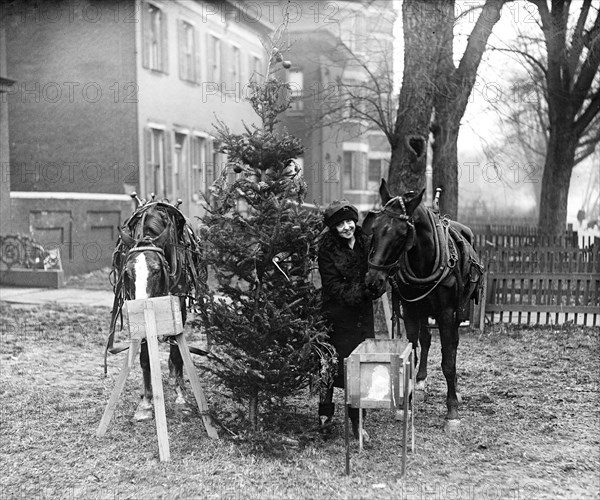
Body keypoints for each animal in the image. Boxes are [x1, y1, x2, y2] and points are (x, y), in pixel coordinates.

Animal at [103, 196, 206, 422]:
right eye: (127, 272)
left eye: (157, 270)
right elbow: (144, 357)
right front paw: (146, 402)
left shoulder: (178, 304)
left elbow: (176, 352)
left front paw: (181, 397)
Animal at [360, 180, 482, 430]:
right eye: (374, 229)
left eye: (401, 235)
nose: (373, 282)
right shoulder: (411, 310)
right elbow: (412, 354)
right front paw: (405, 404)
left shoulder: (446, 313)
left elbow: (448, 360)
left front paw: (452, 411)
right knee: (425, 340)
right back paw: (420, 383)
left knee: (453, 345)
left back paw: (454, 389)